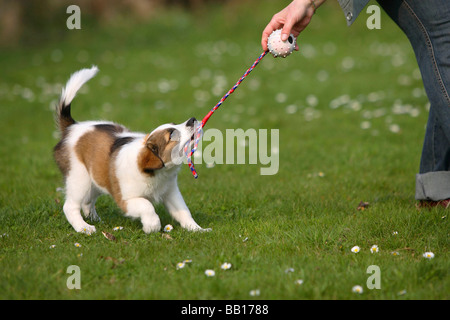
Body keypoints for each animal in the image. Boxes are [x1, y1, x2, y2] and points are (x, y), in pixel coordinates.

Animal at [53, 65, 208, 235]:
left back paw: (94, 219)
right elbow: (146, 205)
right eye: (172, 134)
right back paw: (84, 227)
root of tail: (72, 127)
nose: (192, 119)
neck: (159, 173)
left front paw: (197, 229)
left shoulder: (171, 192)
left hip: (96, 177)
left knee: (87, 201)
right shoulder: (126, 199)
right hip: (79, 178)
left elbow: (183, 211)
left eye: (175, 124)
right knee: (70, 206)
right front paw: (152, 225)